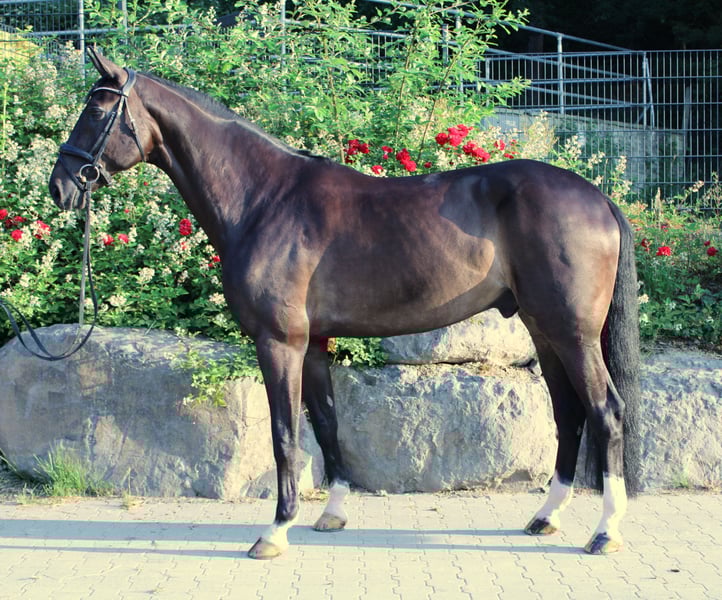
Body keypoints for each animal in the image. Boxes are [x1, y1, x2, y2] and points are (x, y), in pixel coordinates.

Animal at [49, 49, 641, 560]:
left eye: (96, 110)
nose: (60, 186)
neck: (264, 200)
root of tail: (599, 198)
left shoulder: (278, 342)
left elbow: (285, 434)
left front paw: (275, 532)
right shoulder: (313, 343)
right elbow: (328, 425)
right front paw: (331, 514)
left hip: (571, 333)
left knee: (606, 411)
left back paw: (607, 532)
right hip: (545, 331)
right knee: (570, 414)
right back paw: (546, 516)